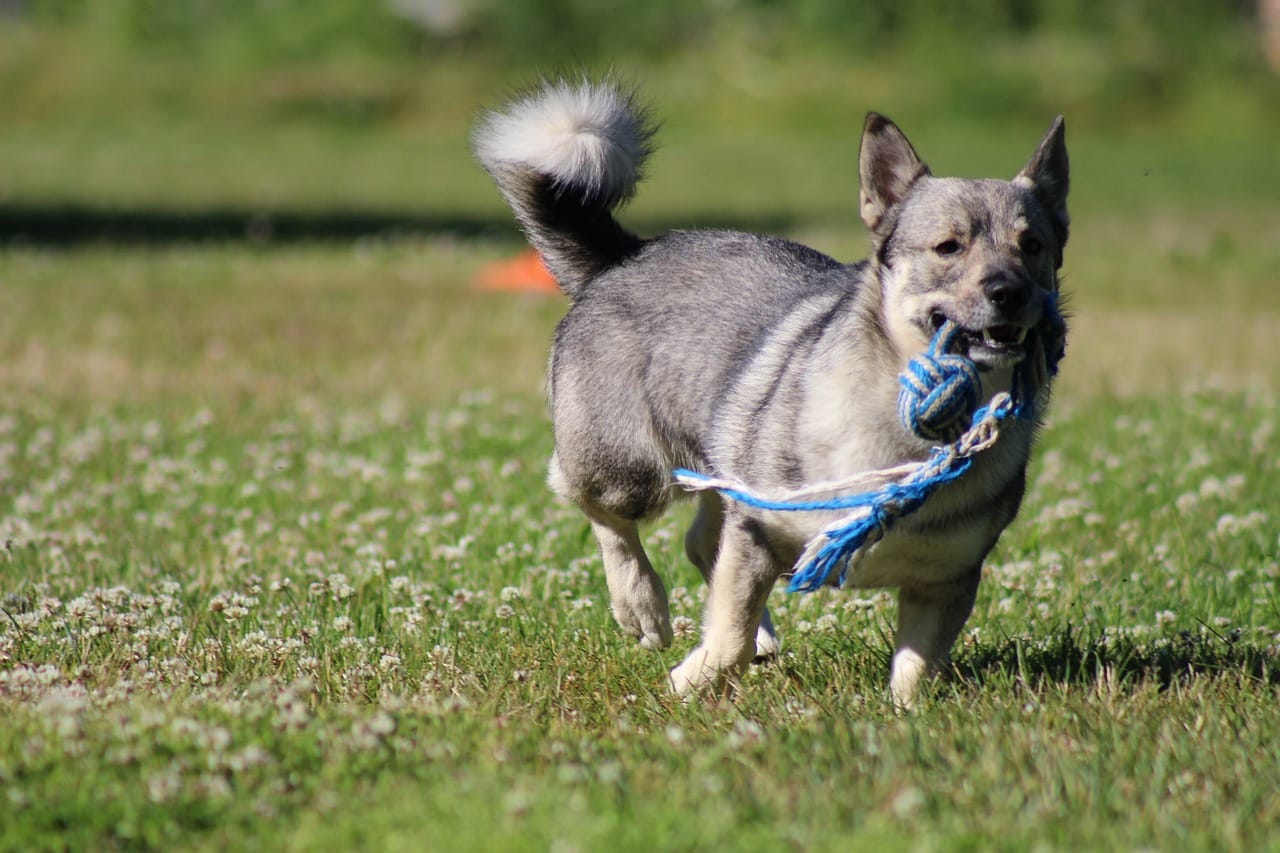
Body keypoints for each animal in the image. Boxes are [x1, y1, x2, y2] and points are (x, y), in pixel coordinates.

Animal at [476, 79, 1064, 701]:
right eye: (949, 247)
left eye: (1033, 246)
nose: (1008, 291)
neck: (908, 440)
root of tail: (624, 255)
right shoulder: (759, 531)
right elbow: (728, 632)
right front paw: (691, 680)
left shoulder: (946, 580)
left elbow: (916, 669)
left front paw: (906, 712)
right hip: (631, 470)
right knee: (594, 504)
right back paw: (643, 606)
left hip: (720, 460)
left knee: (701, 542)